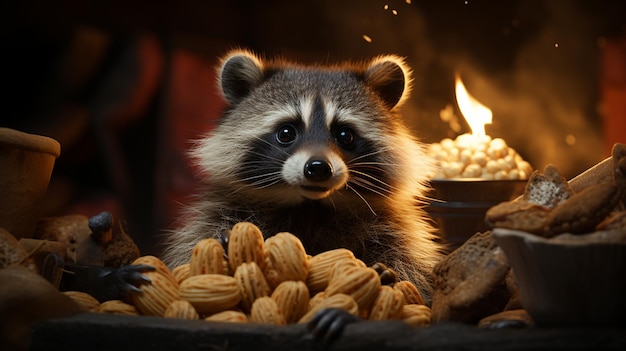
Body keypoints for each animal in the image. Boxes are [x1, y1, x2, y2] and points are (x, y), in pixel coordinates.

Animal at [163, 49, 442, 302]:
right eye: (286, 132)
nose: (318, 168)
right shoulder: (221, 211)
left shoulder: (396, 225)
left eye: (345, 135)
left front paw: (389, 274)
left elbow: (412, 268)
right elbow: (191, 250)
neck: (310, 206)